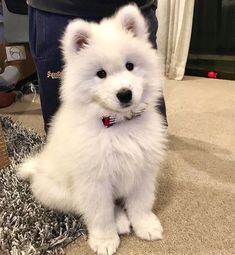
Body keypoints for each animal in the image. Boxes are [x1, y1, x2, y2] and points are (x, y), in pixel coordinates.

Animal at [17, 4, 166, 255]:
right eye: (101, 74)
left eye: (130, 66)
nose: (124, 94)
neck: (118, 125)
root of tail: (37, 168)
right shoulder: (95, 181)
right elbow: (101, 213)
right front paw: (105, 240)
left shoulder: (143, 169)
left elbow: (141, 202)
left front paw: (145, 225)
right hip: (63, 193)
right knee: (91, 207)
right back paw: (120, 222)